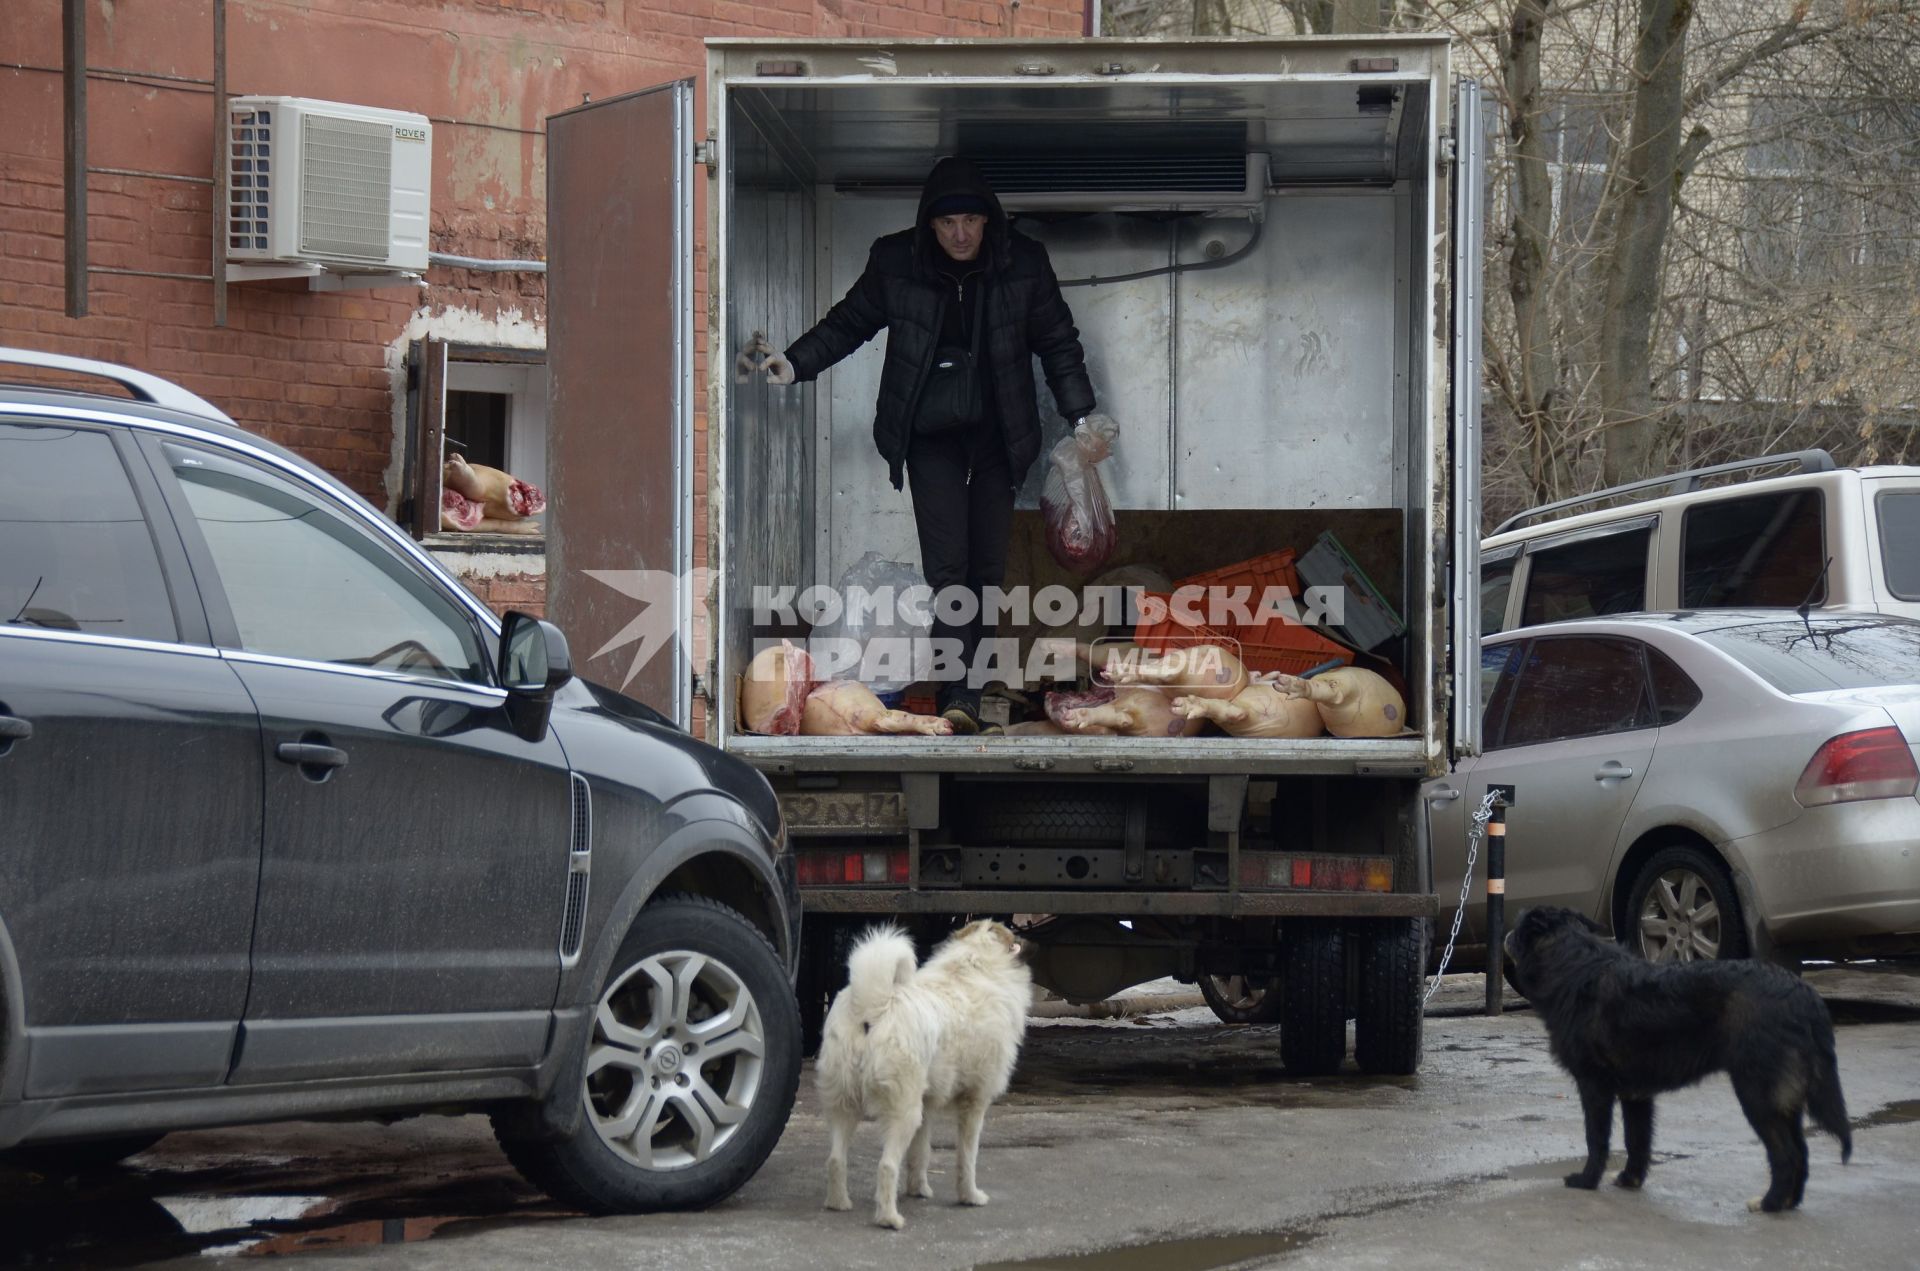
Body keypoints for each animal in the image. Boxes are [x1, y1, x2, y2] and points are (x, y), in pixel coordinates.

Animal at [814, 925, 1029, 1236]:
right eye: (1013, 935)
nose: (1029, 939)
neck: (973, 966)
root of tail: (875, 1003)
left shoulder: (926, 1105)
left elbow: (921, 1152)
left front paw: (918, 1190)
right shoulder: (974, 1103)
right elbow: (967, 1157)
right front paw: (970, 1197)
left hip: (845, 1104)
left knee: (835, 1159)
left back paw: (838, 1203)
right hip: (903, 1112)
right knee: (887, 1166)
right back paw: (889, 1218)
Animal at [1505, 906, 1850, 1213]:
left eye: (1519, 924)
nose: (1505, 935)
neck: (1570, 963)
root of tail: (1804, 994)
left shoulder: (1594, 1087)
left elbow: (1597, 1138)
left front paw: (1587, 1180)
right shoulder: (1636, 1094)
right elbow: (1637, 1139)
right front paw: (1630, 1179)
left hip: (1758, 1094)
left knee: (1787, 1154)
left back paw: (1771, 1204)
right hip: (1784, 1097)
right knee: (1802, 1151)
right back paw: (1789, 1202)